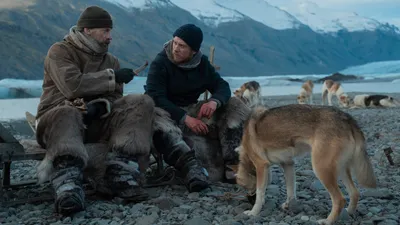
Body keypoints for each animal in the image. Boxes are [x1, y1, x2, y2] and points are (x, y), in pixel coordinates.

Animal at [233, 104, 376, 225]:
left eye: (245, 187)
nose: (248, 199)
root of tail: (347, 118)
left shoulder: (261, 166)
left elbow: (260, 192)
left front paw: (254, 212)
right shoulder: (288, 164)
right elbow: (291, 189)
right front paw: (289, 204)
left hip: (321, 169)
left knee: (339, 199)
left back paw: (328, 221)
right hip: (340, 168)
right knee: (354, 193)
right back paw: (348, 213)